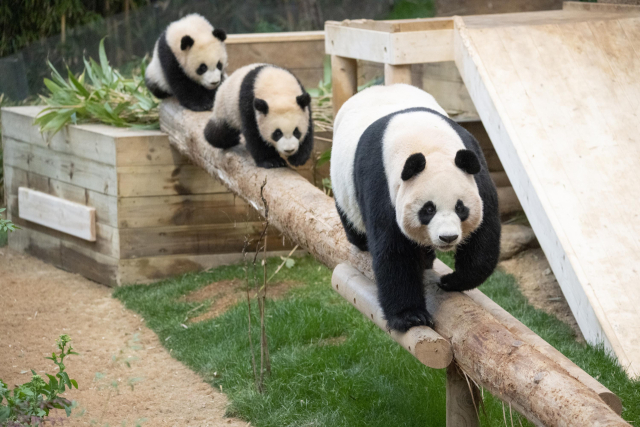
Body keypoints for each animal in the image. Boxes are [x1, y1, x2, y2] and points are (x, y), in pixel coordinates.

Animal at [332, 83, 502, 332]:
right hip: (343, 185)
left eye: (461, 208)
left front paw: (451, 280)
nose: (448, 237)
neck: (427, 143)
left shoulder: (476, 173)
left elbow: (484, 237)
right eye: (428, 210)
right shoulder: (381, 183)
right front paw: (411, 316)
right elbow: (394, 251)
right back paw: (362, 242)